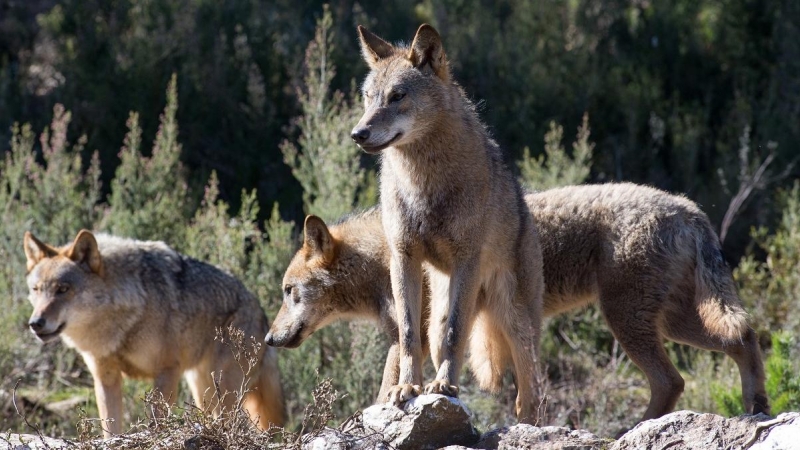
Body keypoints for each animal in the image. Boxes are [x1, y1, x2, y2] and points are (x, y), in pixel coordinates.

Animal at [23, 229, 284, 436]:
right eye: (36, 290)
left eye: (63, 289)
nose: (35, 323)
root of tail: (261, 311)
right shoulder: (105, 378)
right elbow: (110, 429)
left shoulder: (167, 372)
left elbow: (157, 422)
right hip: (203, 391)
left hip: (223, 390)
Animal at [268, 184, 768, 428]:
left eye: (289, 292)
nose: (270, 338)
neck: (380, 259)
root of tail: (689, 208)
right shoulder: (408, 339)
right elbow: (389, 386)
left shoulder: (414, 338)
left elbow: (388, 388)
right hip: (674, 323)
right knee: (742, 339)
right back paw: (756, 407)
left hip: (630, 322)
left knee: (672, 378)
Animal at [352, 23, 548, 426]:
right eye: (368, 97)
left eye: (397, 96)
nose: (358, 134)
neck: (423, 183)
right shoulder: (403, 258)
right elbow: (408, 334)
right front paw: (407, 387)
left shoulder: (466, 259)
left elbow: (456, 335)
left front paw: (444, 386)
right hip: (441, 309)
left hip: (517, 325)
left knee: (530, 396)